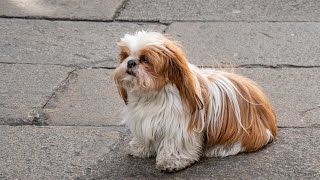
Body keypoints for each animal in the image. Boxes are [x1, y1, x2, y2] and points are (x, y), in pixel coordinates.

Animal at [113, 31, 278, 172]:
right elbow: (144, 136)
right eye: (126, 55)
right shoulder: (143, 120)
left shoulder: (178, 126)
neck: (153, 92)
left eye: (145, 59)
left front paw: (171, 161)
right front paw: (140, 148)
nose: (130, 62)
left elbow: (176, 144)